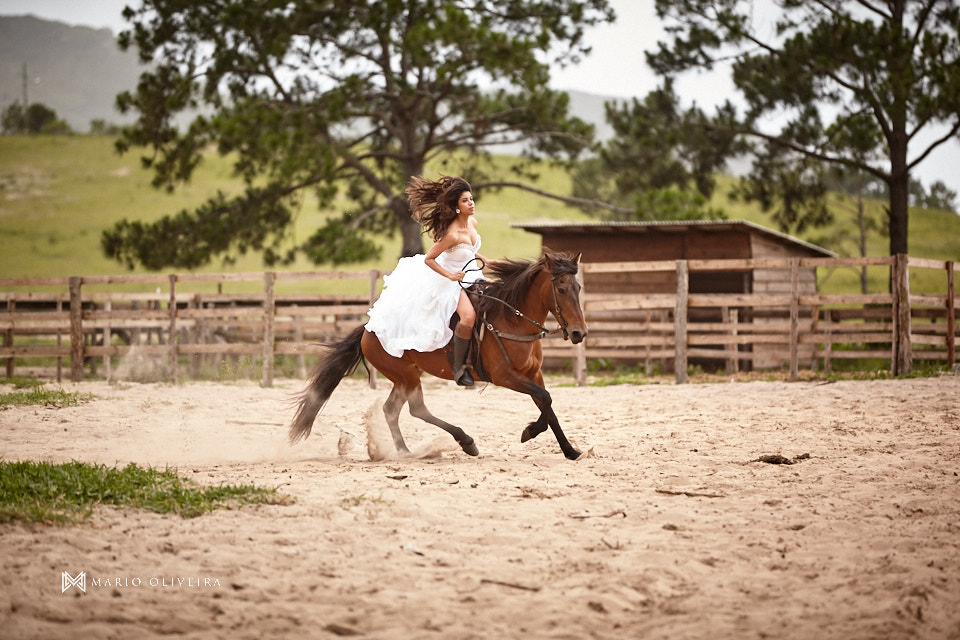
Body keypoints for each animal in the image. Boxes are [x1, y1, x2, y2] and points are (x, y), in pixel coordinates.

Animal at [288, 249, 588, 460]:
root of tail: (368, 329)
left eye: (578, 288)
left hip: (405, 377)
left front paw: (569, 450)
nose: (579, 333)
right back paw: (464, 442)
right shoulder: (505, 376)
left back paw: (405, 451)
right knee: (416, 409)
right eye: (561, 289)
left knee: (391, 410)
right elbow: (545, 399)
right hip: (407, 377)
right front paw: (529, 432)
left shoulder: (533, 374)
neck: (511, 319)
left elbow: (547, 406)